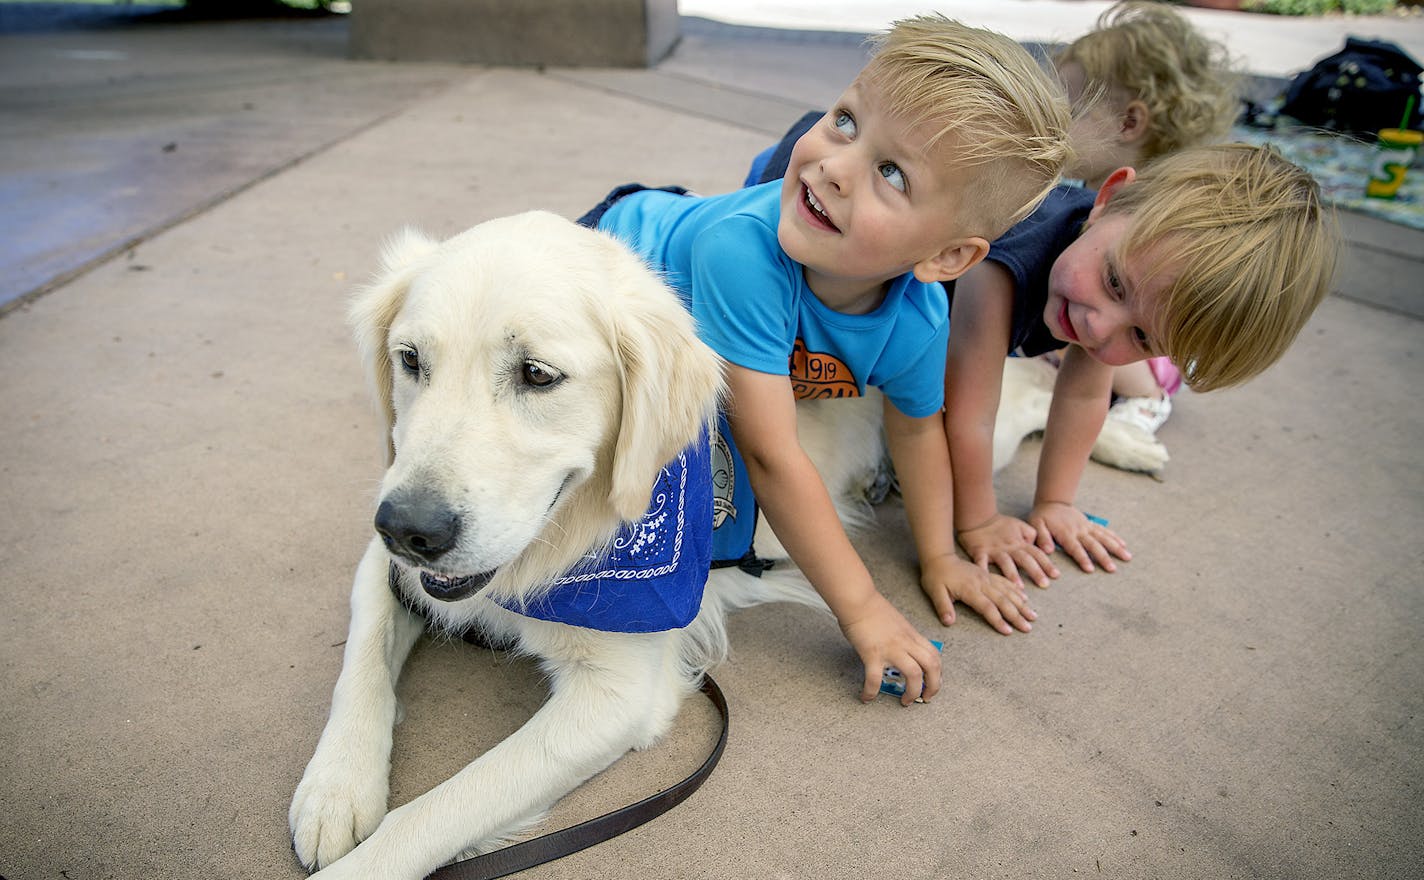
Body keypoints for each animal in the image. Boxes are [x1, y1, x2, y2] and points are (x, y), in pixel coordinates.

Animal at [286, 213, 825, 877]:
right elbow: (360, 666)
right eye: (410, 360)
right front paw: (334, 790)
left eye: (538, 374)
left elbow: (445, 804)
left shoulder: (620, 693)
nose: (409, 530)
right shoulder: (383, 564)